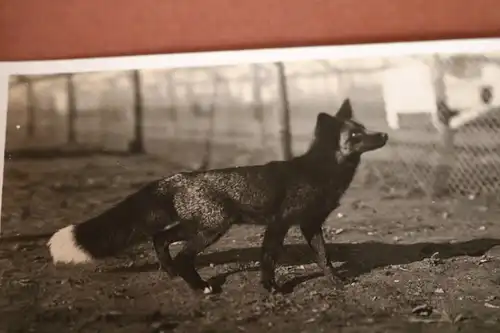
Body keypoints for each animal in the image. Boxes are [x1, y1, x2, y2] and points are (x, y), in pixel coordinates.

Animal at [47, 98, 388, 294]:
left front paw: (336, 281)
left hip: (199, 226)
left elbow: (324, 258)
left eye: (364, 128)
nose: (384, 135)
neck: (320, 171)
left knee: (159, 239)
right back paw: (200, 288)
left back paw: (172, 274)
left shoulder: (310, 224)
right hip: (213, 228)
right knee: (182, 254)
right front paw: (271, 288)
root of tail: (177, 178)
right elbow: (268, 259)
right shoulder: (279, 223)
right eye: (356, 135)